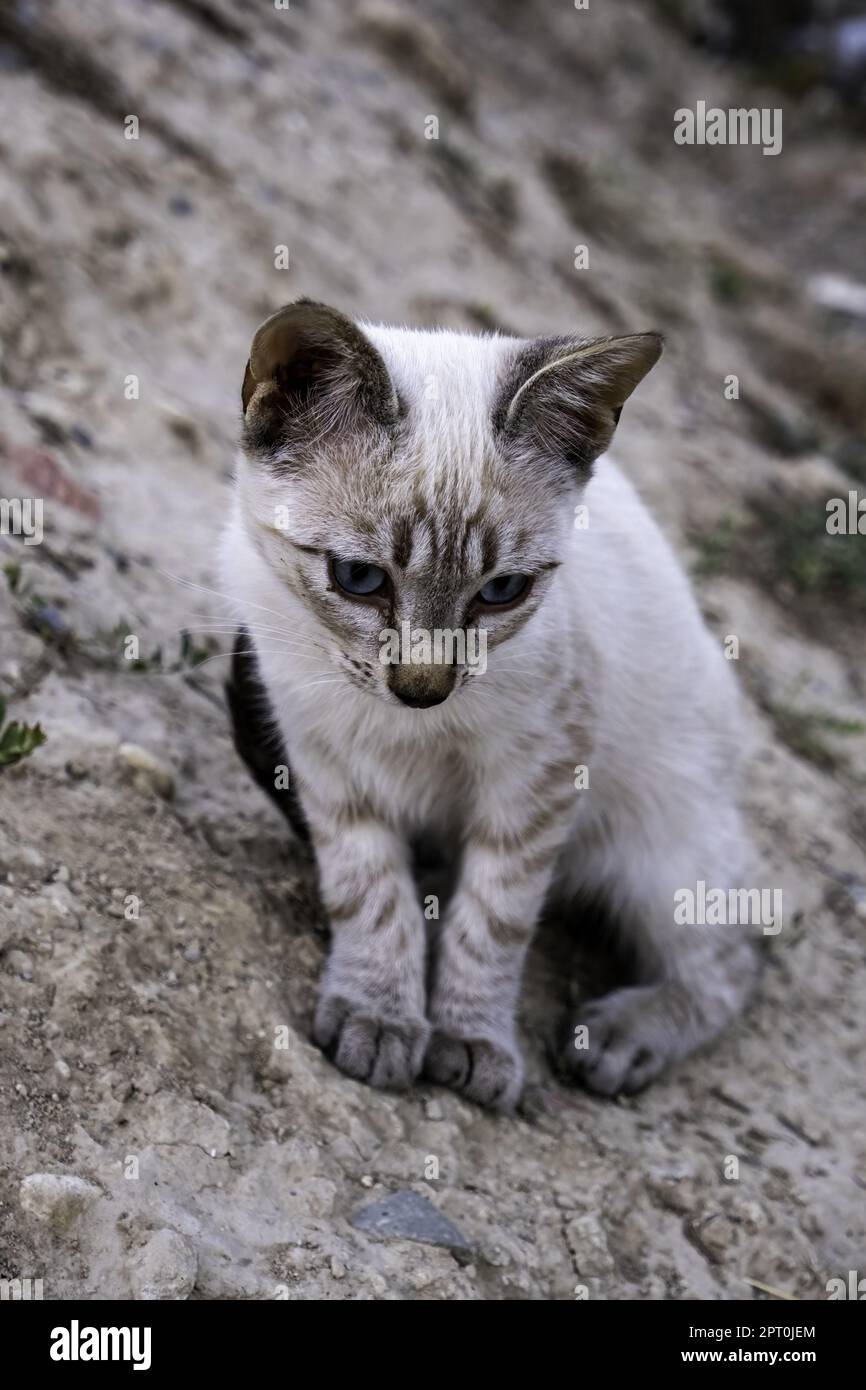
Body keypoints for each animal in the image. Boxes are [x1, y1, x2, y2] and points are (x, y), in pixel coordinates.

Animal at [223, 298, 756, 1112]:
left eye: (502, 591)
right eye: (358, 579)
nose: (423, 688)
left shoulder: (540, 771)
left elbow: (496, 917)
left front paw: (472, 1041)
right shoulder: (318, 751)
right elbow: (369, 892)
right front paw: (380, 1014)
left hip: (666, 849)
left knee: (729, 964)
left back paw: (624, 1036)